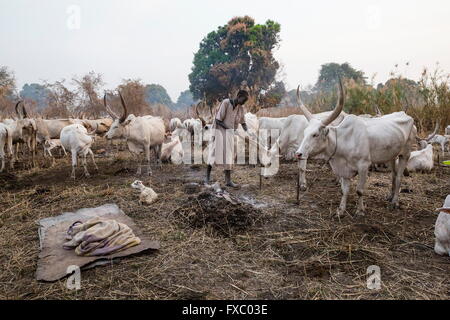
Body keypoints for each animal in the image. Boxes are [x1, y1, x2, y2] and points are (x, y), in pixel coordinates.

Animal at [296, 79, 414, 216]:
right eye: (305, 132)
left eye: (315, 134)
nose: (298, 153)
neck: (345, 140)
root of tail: (405, 114)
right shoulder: (344, 170)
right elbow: (344, 190)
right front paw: (341, 210)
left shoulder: (364, 166)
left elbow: (359, 190)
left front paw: (360, 211)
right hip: (391, 156)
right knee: (394, 175)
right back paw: (390, 196)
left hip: (405, 154)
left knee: (399, 177)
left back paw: (395, 202)